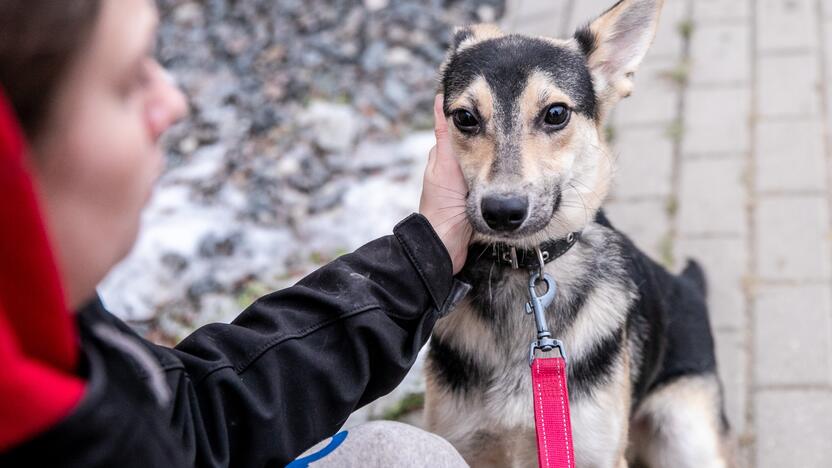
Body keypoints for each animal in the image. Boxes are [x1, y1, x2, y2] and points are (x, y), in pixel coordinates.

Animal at [426, 1, 732, 466]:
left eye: (556, 114)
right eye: (464, 117)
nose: (502, 211)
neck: (524, 270)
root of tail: (689, 287)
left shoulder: (596, 452)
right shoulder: (464, 444)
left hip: (686, 432)